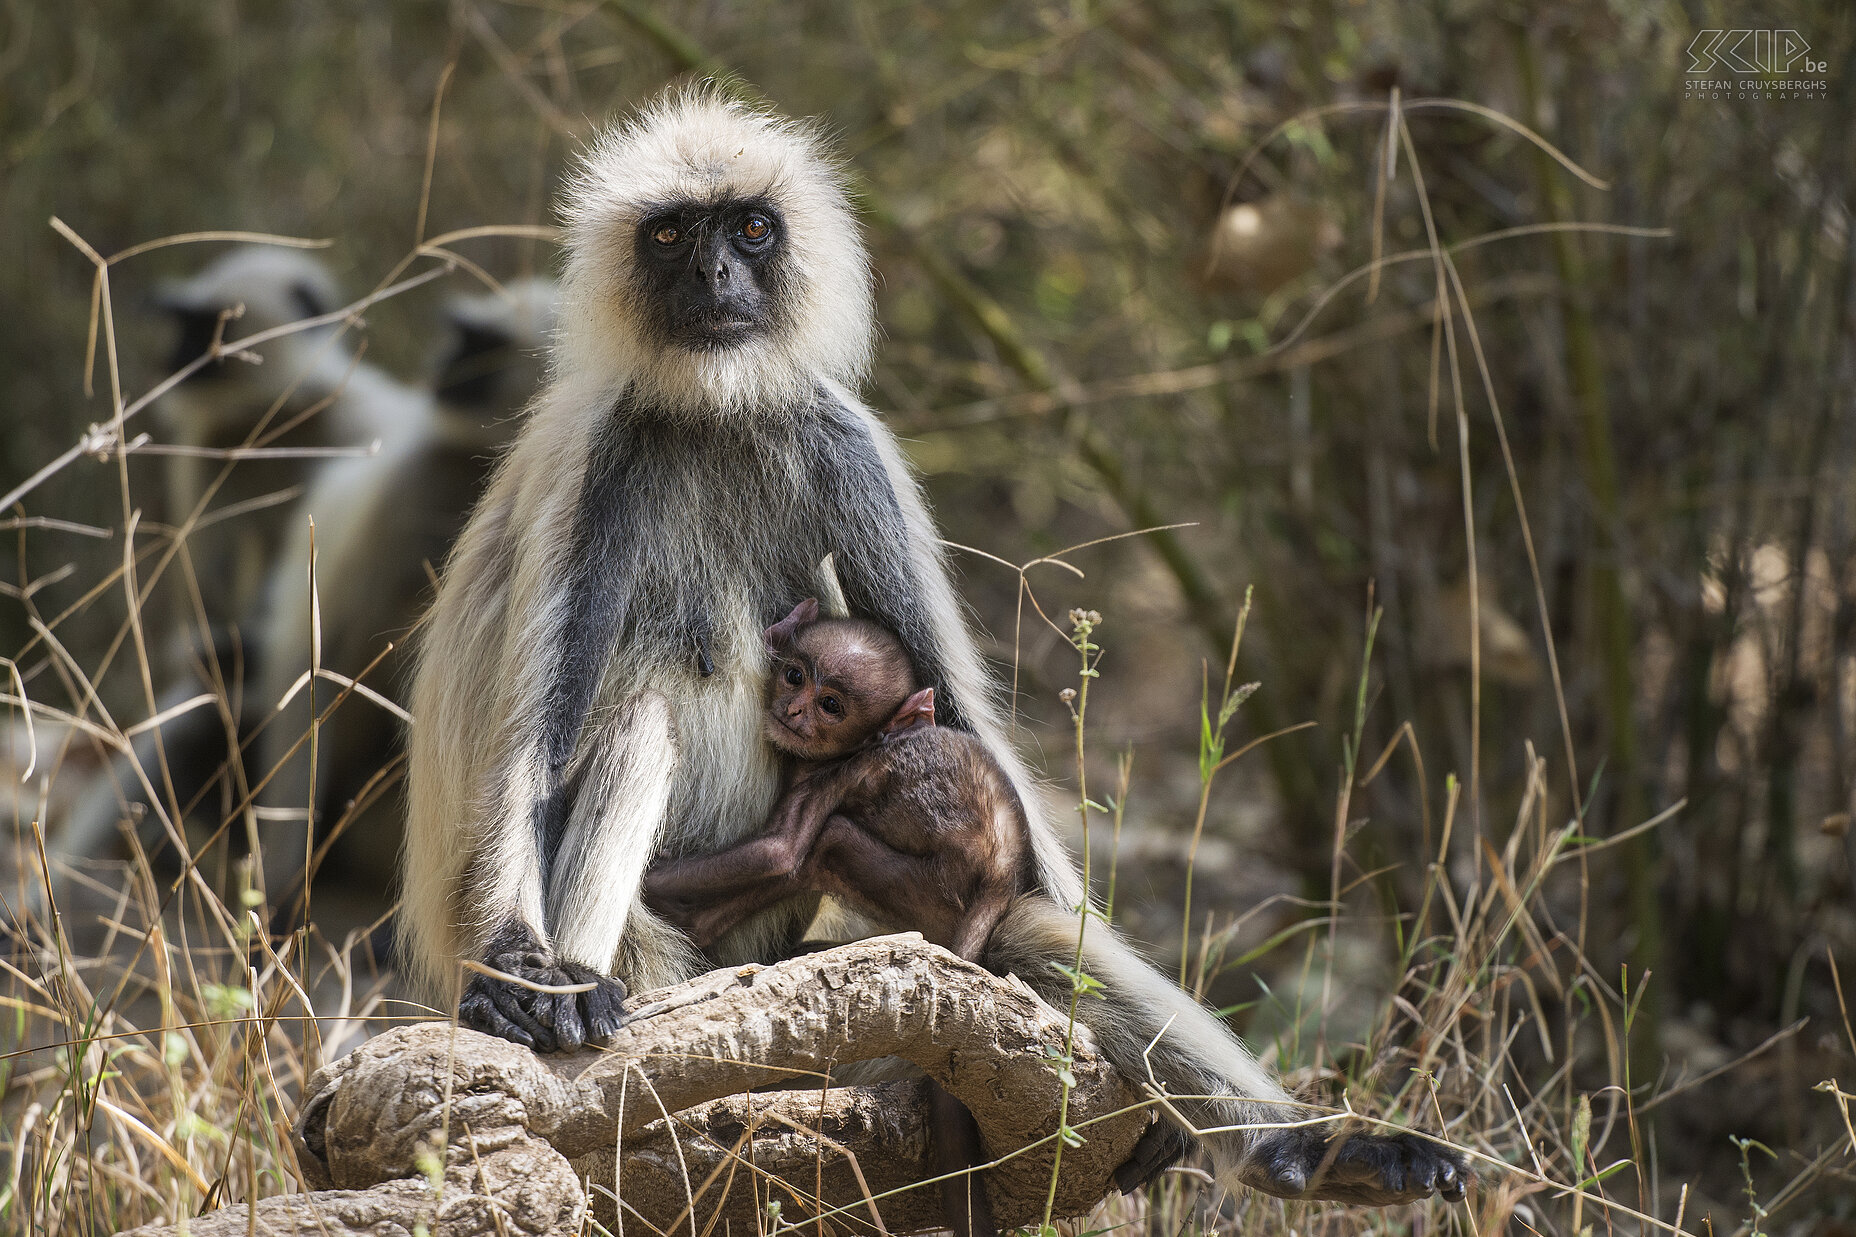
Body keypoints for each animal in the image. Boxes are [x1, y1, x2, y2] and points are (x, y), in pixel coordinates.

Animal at [402, 91, 1462, 1210]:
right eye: (670, 236)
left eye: (748, 229)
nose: (714, 278)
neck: (713, 410)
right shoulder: (597, 460)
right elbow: (537, 746)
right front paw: (520, 968)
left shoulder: (843, 439)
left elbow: (957, 717)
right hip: (668, 958)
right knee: (635, 731)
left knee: (1030, 929)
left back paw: (1305, 1148)